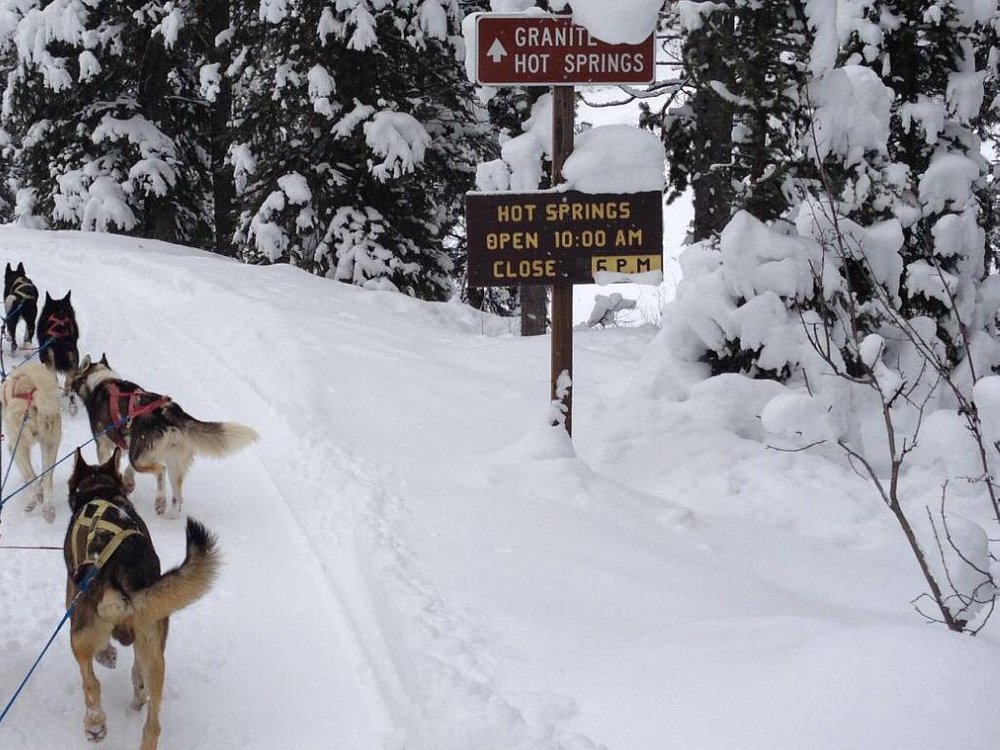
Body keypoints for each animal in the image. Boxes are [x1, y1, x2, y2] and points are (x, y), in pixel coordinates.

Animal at [1, 362, 62, 524]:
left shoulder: (13, 448)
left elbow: (28, 474)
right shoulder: (45, 442)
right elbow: (43, 475)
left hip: (21, 446)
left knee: (33, 477)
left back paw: (31, 503)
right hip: (51, 443)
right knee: (47, 477)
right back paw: (47, 507)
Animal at [63, 450, 220, 748]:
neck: (100, 491)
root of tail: (122, 573)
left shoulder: (71, 598)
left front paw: (107, 655)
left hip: (79, 635)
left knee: (91, 683)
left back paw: (95, 724)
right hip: (154, 650)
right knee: (152, 720)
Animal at [68, 356, 258, 520]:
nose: (67, 389)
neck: (101, 379)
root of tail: (170, 410)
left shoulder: (104, 446)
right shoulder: (132, 448)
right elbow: (128, 469)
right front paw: (128, 482)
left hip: (147, 458)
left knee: (160, 470)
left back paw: (160, 501)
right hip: (171, 462)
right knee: (177, 497)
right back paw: (170, 513)